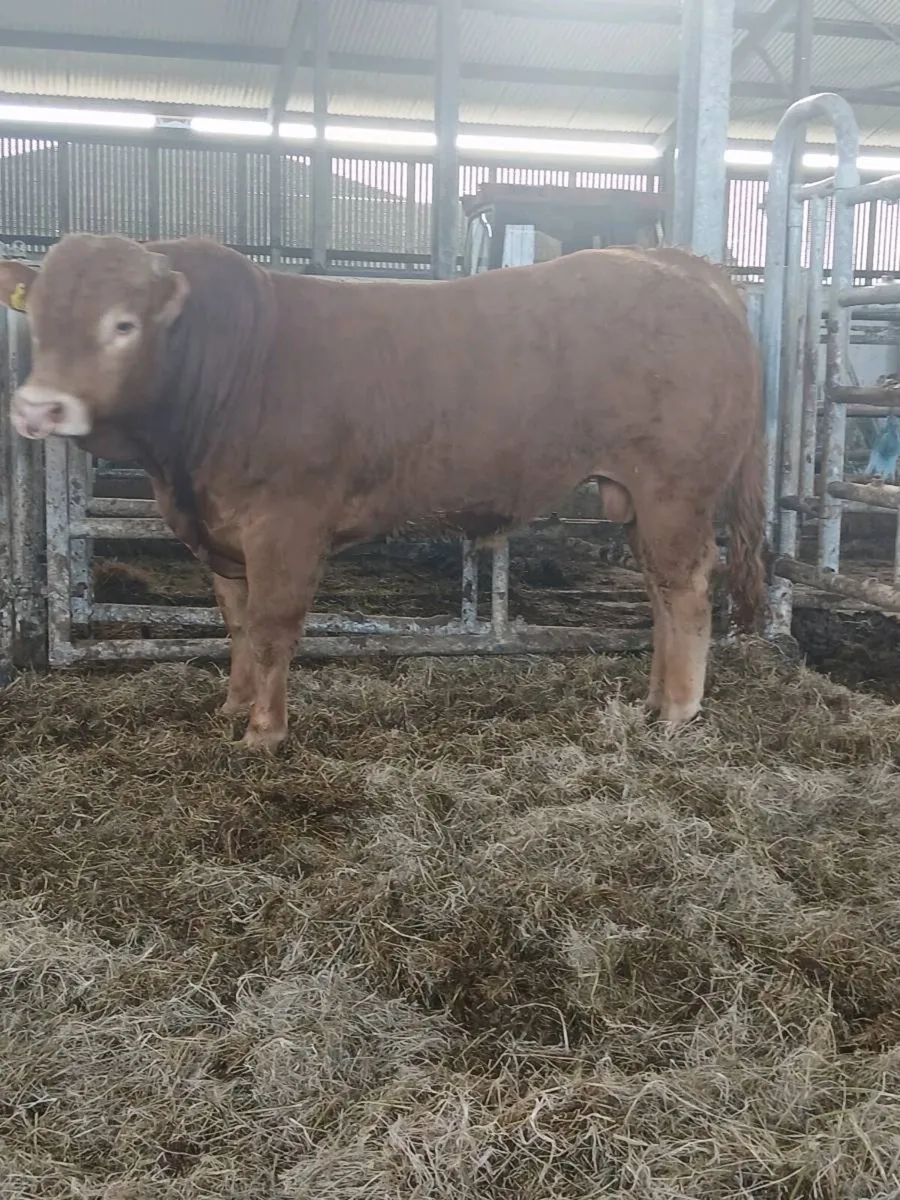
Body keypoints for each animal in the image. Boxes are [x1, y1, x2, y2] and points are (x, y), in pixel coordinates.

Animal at [0, 234, 766, 750]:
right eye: (38, 317)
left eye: (122, 324)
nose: (37, 409)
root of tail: (677, 265)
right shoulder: (221, 534)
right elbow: (238, 625)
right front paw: (232, 707)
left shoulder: (285, 525)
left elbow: (273, 627)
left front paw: (264, 732)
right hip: (638, 497)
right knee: (661, 592)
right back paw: (651, 699)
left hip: (674, 489)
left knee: (687, 591)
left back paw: (677, 712)